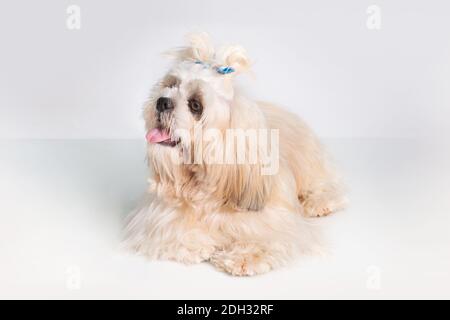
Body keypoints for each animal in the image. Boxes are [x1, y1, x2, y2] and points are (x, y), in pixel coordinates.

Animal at [123, 33, 344, 276]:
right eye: (171, 85)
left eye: (195, 105)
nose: (162, 101)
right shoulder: (157, 218)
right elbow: (177, 233)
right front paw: (198, 244)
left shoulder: (274, 221)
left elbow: (263, 239)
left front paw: (243, 256)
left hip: (310, 166)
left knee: (325, 184)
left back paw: (319, 202)